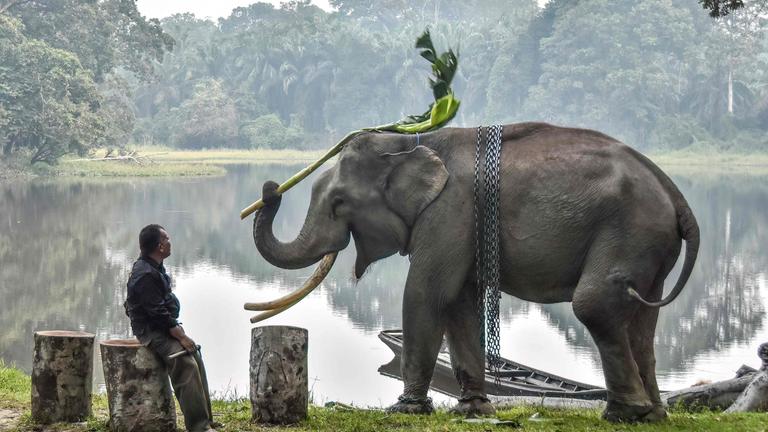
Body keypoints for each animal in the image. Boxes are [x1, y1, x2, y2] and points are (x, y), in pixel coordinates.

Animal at [252, 122, 699, 422]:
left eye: (339, 202)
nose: (270, 189)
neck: (414, 143)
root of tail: (676, 195)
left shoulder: (451, 210)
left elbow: (426, 293)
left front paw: (406, 409)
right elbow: (459, 300)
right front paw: (471, 409)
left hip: (629, 230)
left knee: (595, 305)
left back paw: (625, 414)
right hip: (651, 249)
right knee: (641, 320)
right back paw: (655, 415)